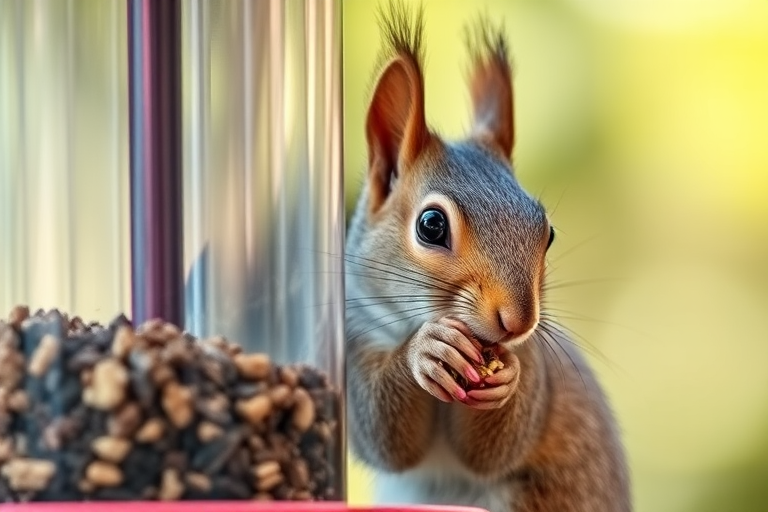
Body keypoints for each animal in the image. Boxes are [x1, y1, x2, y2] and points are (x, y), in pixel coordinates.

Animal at [344, 3, 631, 512]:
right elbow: (382, 435)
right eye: (431, 225)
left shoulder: (538, 373)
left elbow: (492, 450)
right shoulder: (352, 343)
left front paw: (507, 377)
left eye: (548, 233)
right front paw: (424, 349)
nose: (519, 322)